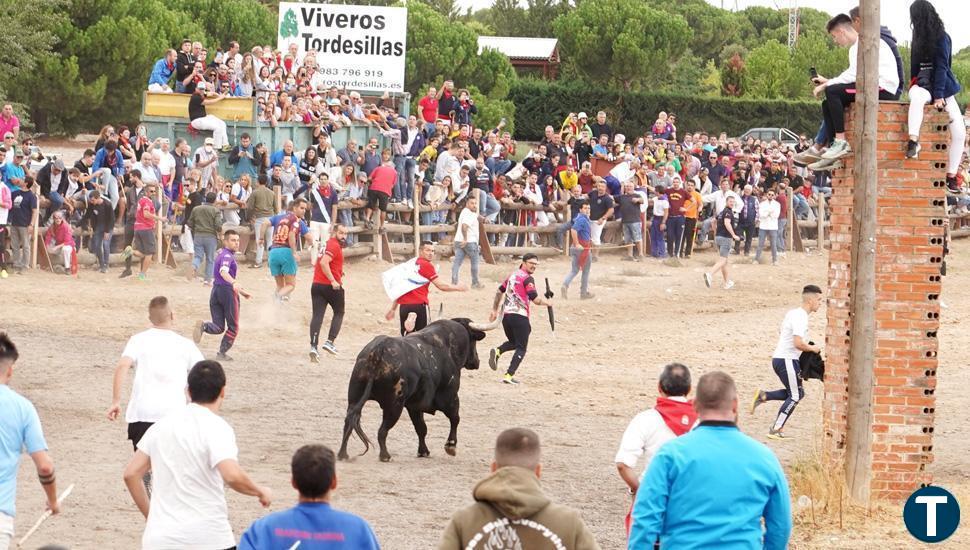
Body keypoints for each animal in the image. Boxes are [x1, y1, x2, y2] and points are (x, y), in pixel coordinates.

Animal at [336, 316, 496, 464]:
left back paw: (343, 454)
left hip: (355, 397)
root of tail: (378, 352)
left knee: (348, 423)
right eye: (473, 340)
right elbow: (455, 419)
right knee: (382, 430)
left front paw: (423, 451)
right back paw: (385, 455)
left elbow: (421, 428)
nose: (477, 361)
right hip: (394, 405)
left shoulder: (414, 405)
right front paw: (450, 446)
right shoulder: (450, 397)